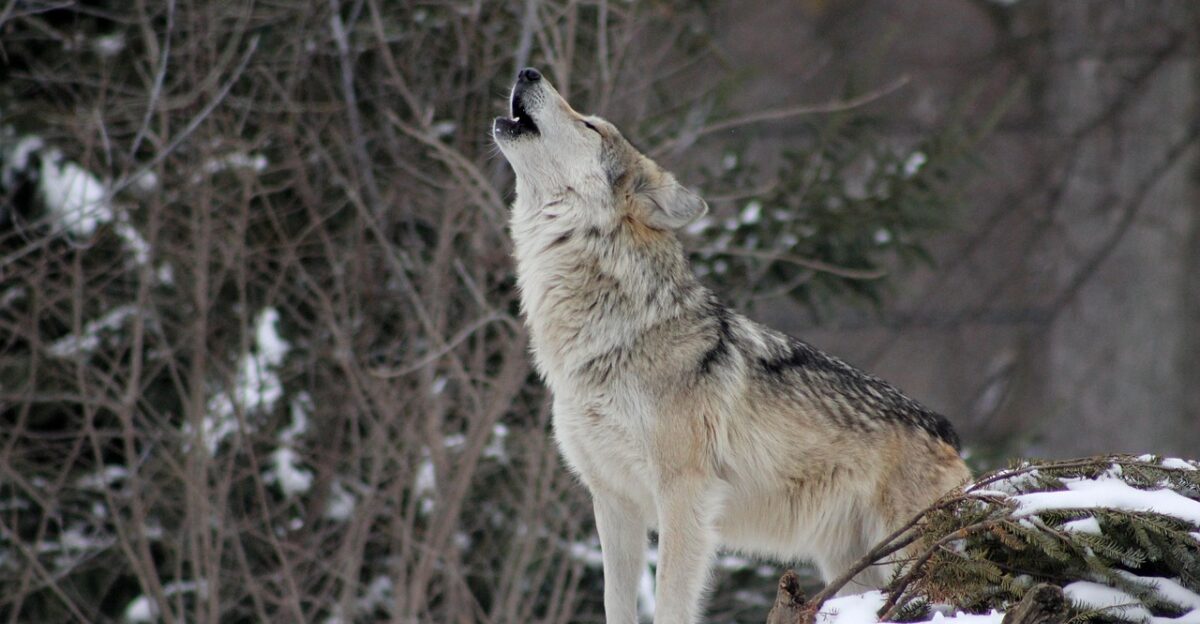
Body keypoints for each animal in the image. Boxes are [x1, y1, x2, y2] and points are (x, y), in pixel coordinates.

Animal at [493, 67, 971, 624]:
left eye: (590, 125)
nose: (527, 71)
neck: (612, 335)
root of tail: (946, 431)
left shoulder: (684, 496)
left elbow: (671, 603)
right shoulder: (613, 502)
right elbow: (616, 604)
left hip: (903, 558)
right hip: (851, 568)